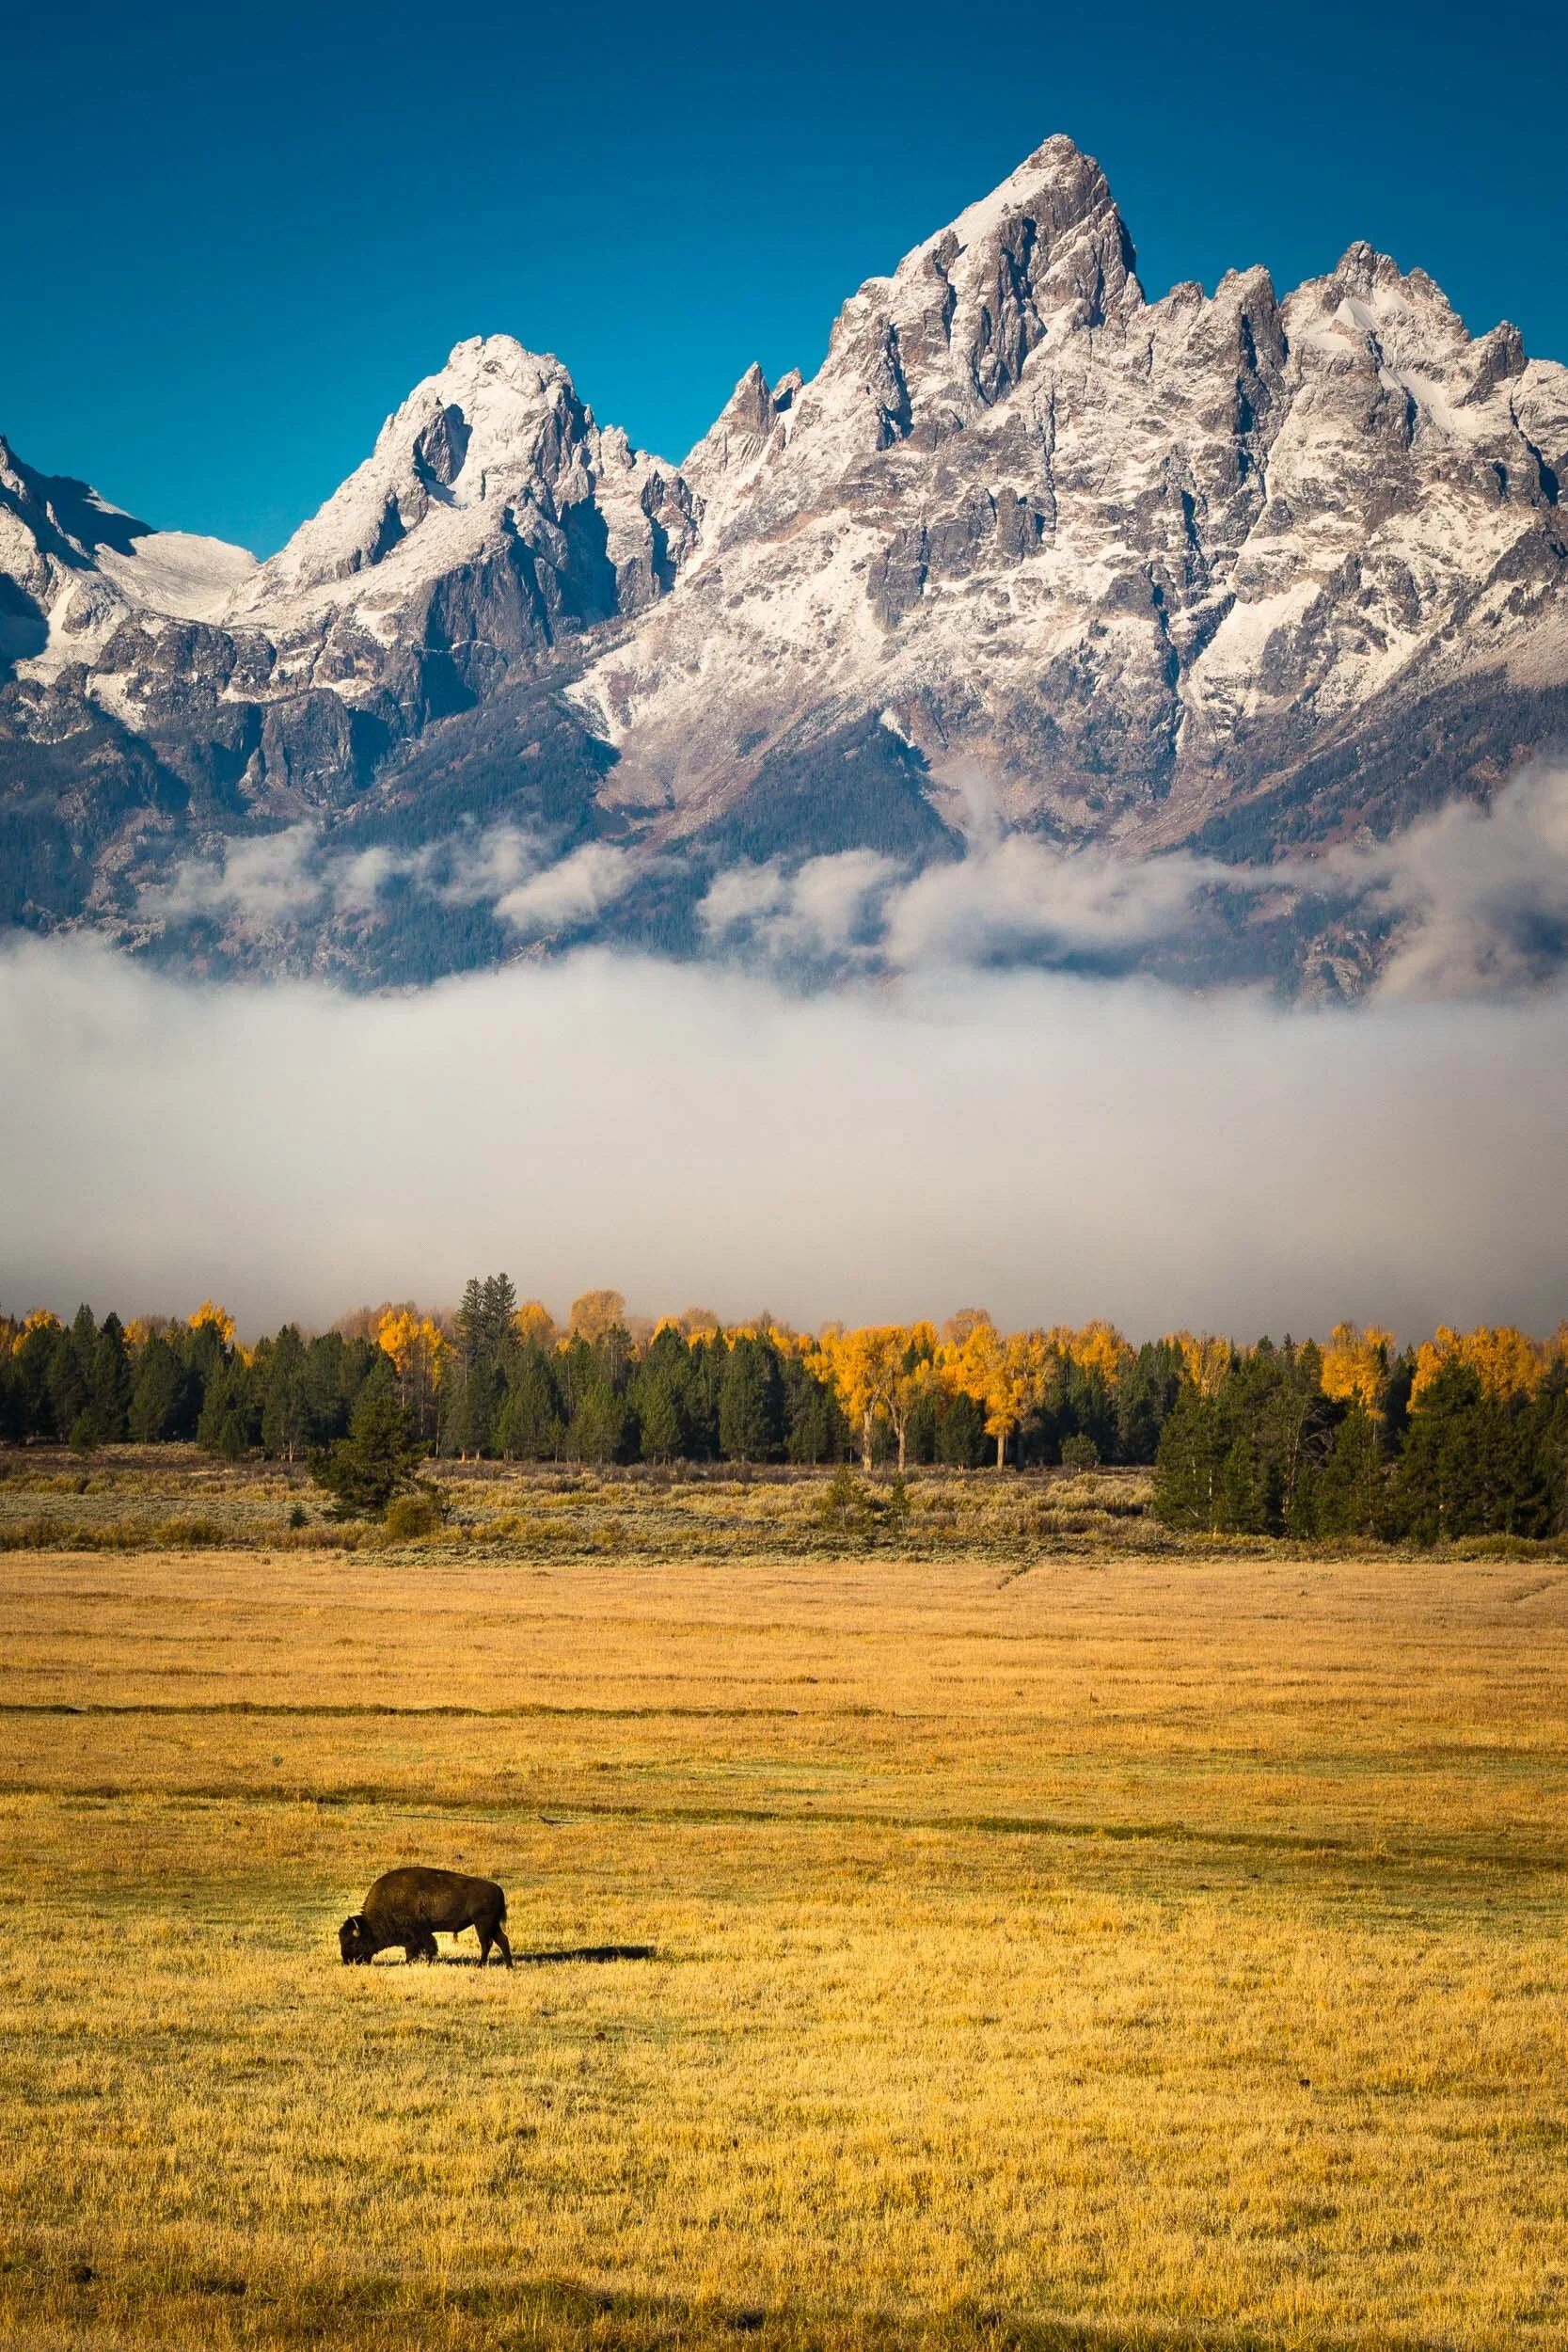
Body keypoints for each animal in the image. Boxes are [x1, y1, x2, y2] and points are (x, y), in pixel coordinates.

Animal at [338, 1866, 512, 1968]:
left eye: (350, 1941)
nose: (346, 1961)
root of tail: (497, 1888)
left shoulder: (419, 1932)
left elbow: (426, 1948)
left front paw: (421, 1963)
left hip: (482, 1924)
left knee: (486, 1943)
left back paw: (480, 1965)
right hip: (492, 1925)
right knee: (502, 1940)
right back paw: (509, 1965)